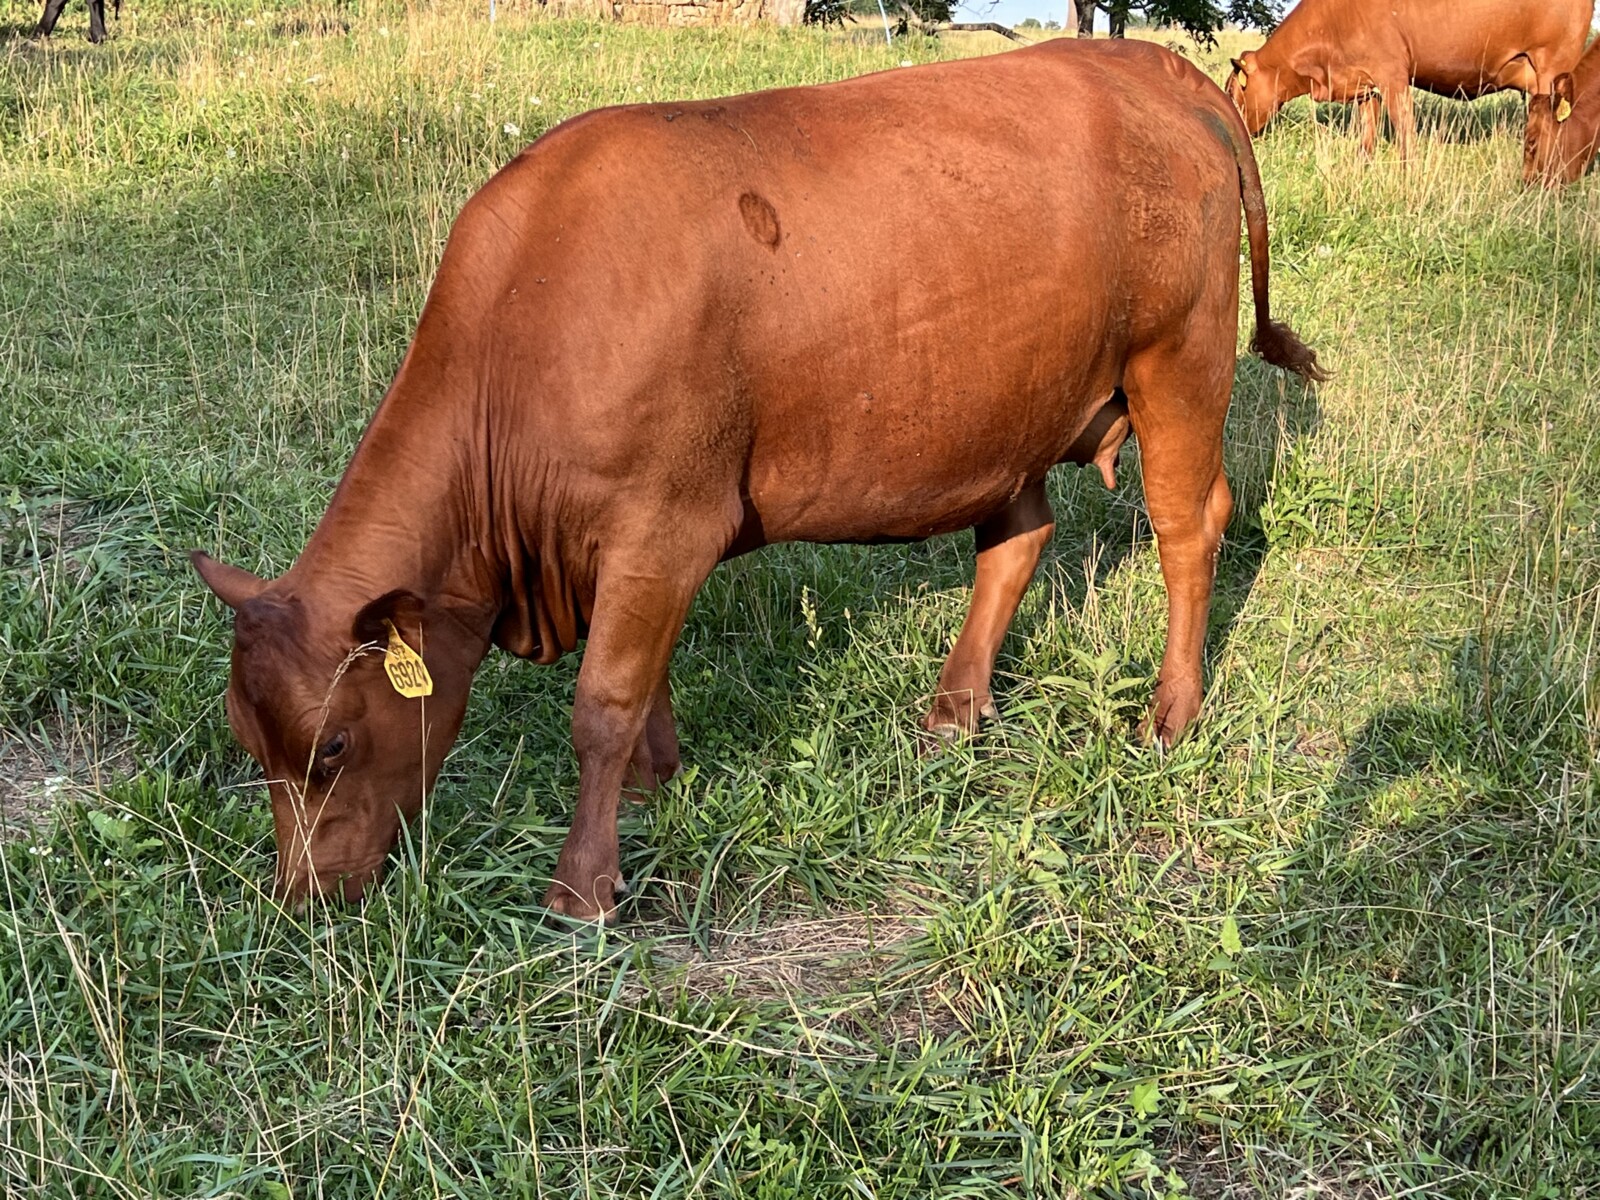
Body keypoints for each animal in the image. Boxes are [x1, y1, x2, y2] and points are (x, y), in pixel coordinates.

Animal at [192, 37, 1324, 923]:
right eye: (250, 744)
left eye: (334, 746)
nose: (304, 896)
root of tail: (1155, 68)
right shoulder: (625, 547)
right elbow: (640, 684)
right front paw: (652, 789)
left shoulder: (662, 524)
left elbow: (602, 699)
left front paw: (582, 887)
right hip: (1006, 401)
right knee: (1019, 537)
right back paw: (953, 711)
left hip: (1178, 360)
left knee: (1188, 525)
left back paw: (1170, 714)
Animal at [1225, 0, 1594, 161]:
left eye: (1231, 91)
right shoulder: (1364, 84)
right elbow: (1368, 131)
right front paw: (1364, 163)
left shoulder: (1393, 75)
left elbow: (1404, 130)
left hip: (1553, 66)